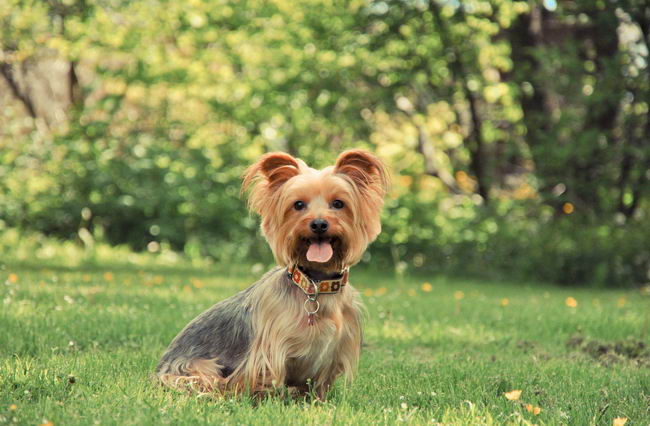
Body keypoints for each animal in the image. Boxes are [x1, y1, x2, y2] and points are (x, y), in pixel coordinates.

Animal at [154, 151, 388, 400]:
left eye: (338, 203)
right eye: (298, 205)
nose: (318, 224)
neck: (315, 284)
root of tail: (159, 367)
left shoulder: (334, 350)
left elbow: (319, 386)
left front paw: (316, 401)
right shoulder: (271, 349)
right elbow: (266, 378)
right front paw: (266, 399)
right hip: (196, 368)